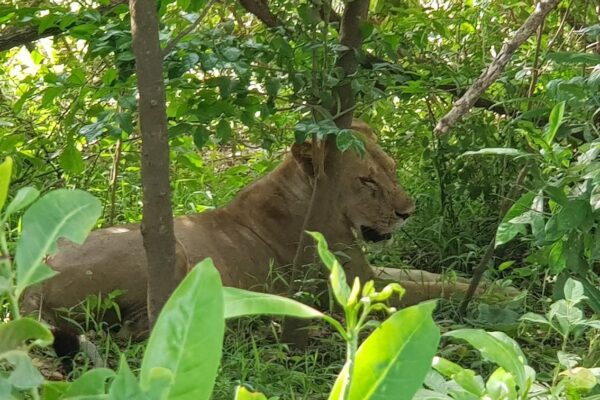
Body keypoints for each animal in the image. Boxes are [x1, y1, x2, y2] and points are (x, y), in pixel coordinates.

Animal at [22, 120, 478, 342]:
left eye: (392, 169)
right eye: (367, 181)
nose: (408, 213)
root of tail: (28, 285)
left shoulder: (367, 272)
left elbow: (434, 276)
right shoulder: (352, 285)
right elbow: (435, 289)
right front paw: (491, 295)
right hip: (170, 250)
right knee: (136, 330)